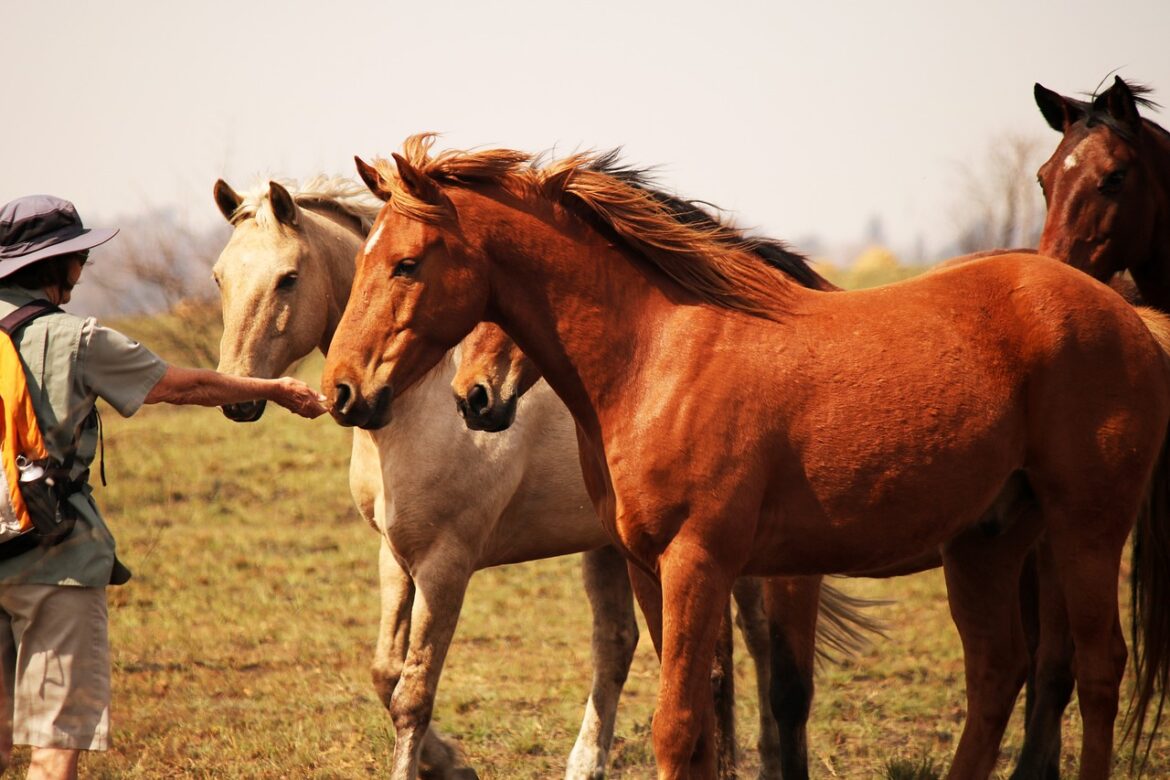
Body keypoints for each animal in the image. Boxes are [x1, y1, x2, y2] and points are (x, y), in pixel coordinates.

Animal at [322, 135, 1170, 780]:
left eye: (406, 263)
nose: (342, 389)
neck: (659, 354)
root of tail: (1127, 316)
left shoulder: (699, 562)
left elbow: (679, 726)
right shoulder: (650, 567)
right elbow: (705, 722)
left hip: (1085, 531)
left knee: (1097, 669)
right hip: (987, 542)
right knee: (998, 674)